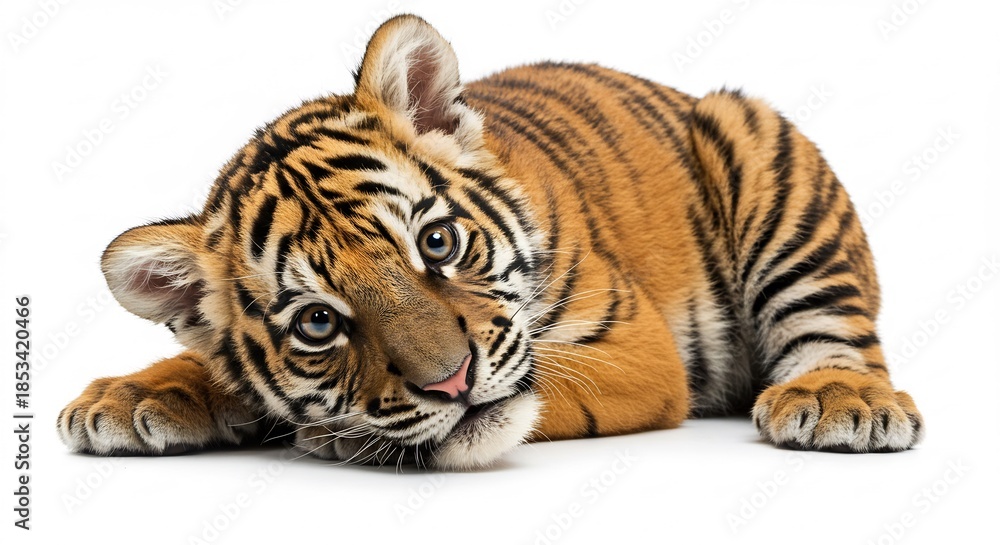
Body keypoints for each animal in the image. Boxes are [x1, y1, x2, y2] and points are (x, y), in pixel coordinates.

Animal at [58, 14, 923, 470]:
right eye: (318, 322)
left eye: (437, 243)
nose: (452, 383)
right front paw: (128, 395)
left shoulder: (635, 347)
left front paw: (335, 436)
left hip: (758, 145)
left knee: (836, 334)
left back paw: (837, 398)